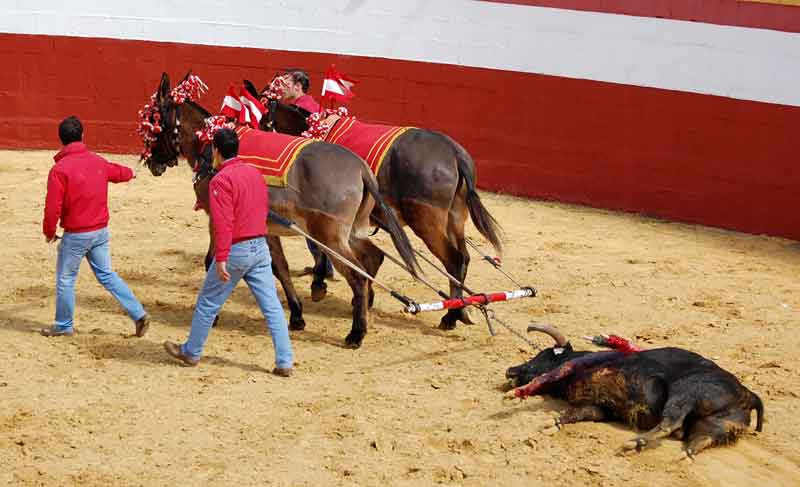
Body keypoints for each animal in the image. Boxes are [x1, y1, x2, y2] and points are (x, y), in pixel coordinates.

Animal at [506, 326, 764, 460]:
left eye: (543, 355)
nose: (510, 370)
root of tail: (748, 393)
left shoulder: (572, 366)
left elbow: (548, 376)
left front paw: (515, 394)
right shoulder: (601, 408)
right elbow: (577, 414)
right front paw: (553, 422)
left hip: (686, 392)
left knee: (670, 422)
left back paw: (635, 442)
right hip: (717, 425)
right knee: (703, 437)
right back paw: (685, 453)